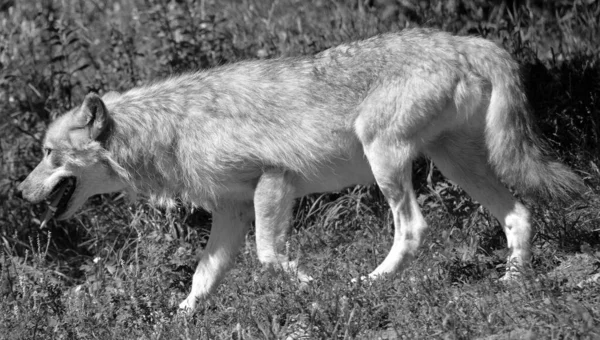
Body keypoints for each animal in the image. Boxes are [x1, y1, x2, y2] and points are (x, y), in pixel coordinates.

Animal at [18, 28, 584, 310]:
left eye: (47, 153)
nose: (20, 194)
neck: (169, 129)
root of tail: (472, 41)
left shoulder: (272, 182)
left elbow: (270, 257)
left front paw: (315, 287)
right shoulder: (230, 214)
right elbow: (200, 280)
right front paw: (174, 322)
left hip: (386, 158)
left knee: (414, 229)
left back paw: (366, 284)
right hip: (454, 164)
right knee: (518, 214)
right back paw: (512, 285)